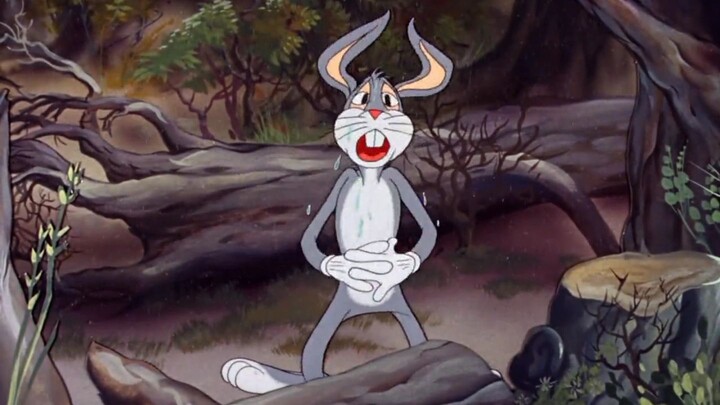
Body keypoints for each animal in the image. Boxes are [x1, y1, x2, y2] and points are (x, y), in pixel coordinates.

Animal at [221, 11, 453, 395]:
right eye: (361, 99)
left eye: (389, 101)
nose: (374, 114)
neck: (370, 176)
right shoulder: (342, 183)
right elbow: (309, 240)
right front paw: (348, 266)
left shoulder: (398, 180)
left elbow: (426, 236)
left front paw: (393, 264)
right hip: (331, 320)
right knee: (313, 368)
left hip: (403, 312)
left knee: (417, 345)